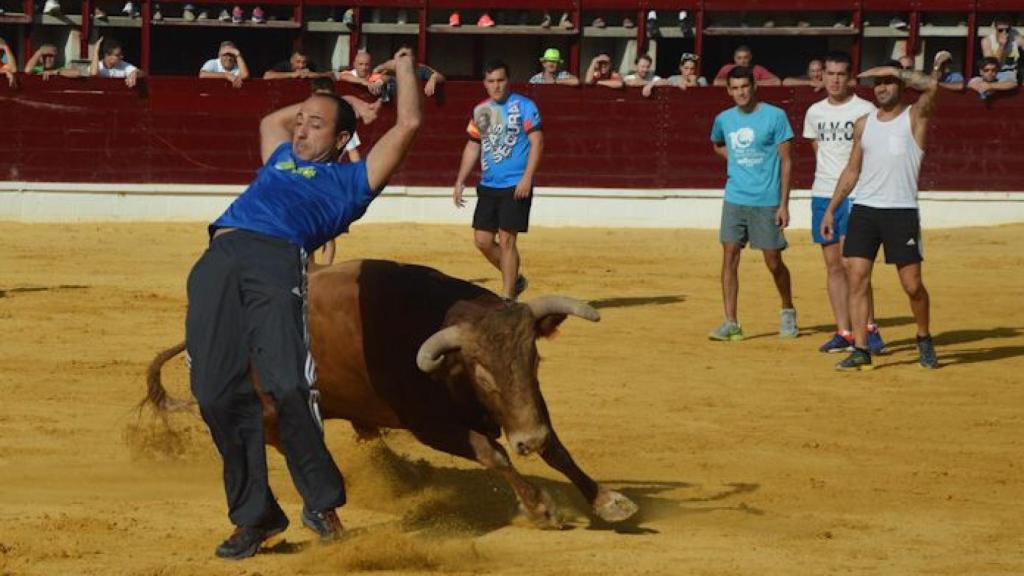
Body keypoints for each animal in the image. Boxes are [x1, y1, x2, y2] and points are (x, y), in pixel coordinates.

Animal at [146, 259, 638, 524]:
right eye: (481, 373)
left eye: (533, 360)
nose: (527, 442)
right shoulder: (430, 426)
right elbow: (492, 453)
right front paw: (540, 509)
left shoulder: (526, 407)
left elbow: (556, 445)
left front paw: (609, 500)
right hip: (271, 416)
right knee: (291, 448)